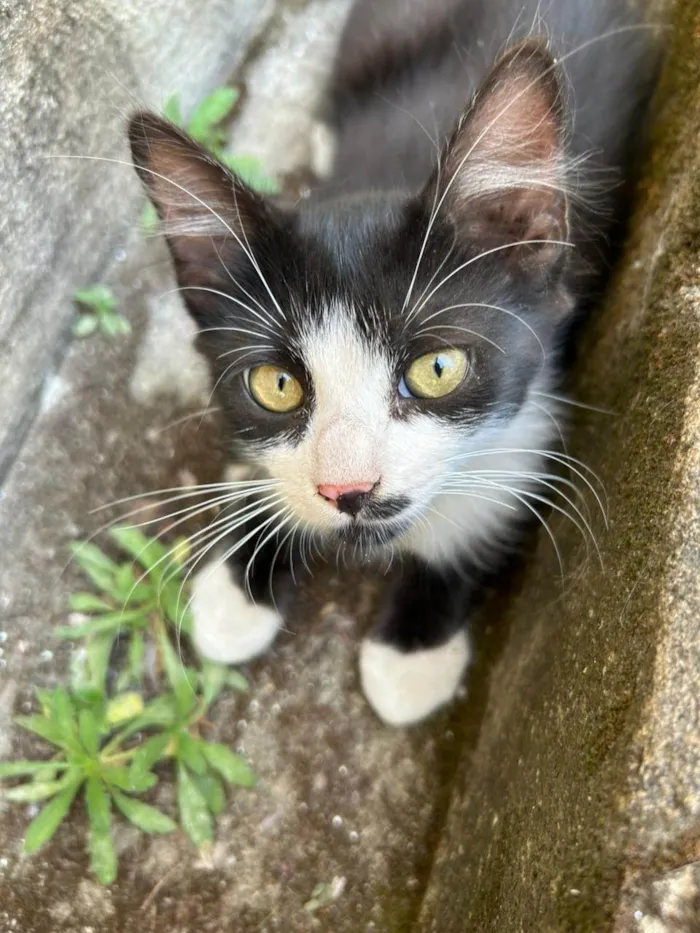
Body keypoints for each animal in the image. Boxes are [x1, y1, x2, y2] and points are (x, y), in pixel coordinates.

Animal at [129, 0, 660, 728]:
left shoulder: (545, 371)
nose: (348, 490)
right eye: (276, 384)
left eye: (437, 369)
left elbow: (498, 491)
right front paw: (242, 579)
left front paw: (412, 650)